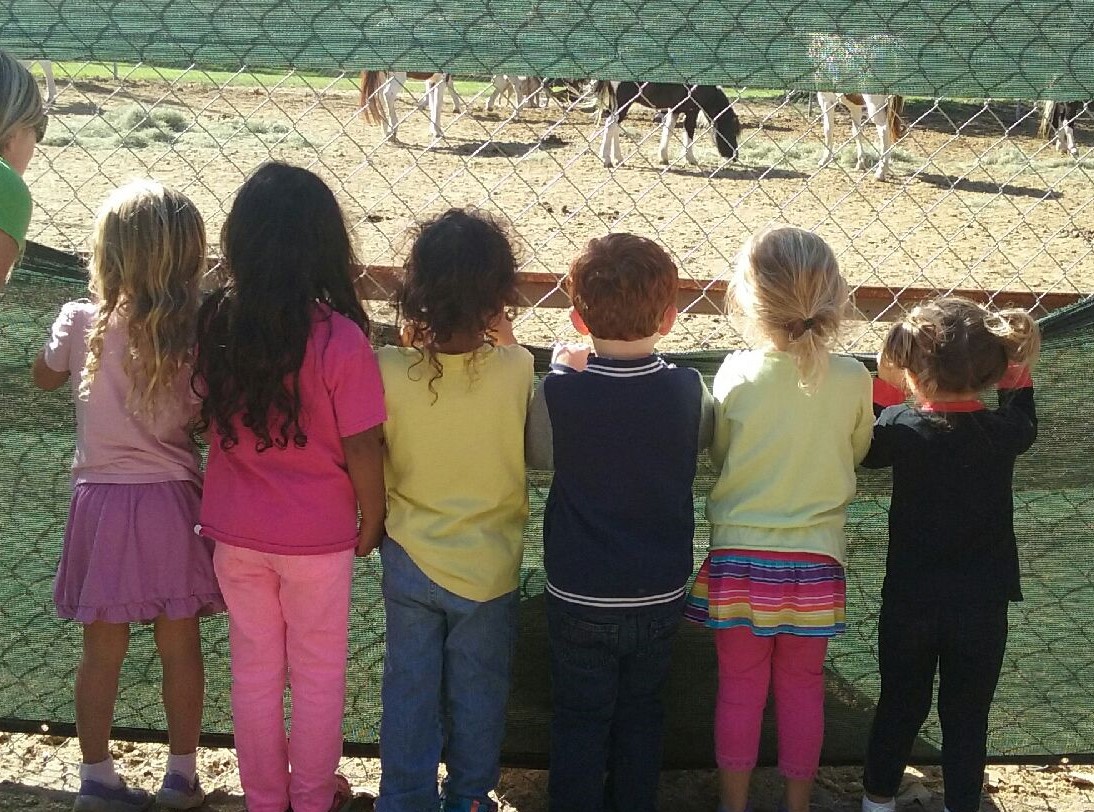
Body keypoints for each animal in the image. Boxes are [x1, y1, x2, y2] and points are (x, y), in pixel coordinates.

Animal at [595, 80, 739, 168]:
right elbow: (689, 132)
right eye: (731, 131)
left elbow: (668, 130)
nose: (735, 157)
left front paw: (663, 157)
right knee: (610, 124)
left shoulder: (675, 110)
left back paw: (618, 159)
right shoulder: (692, 111)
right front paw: (691, 159)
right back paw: (607, 160)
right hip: (624, 103)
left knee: (614, 126)